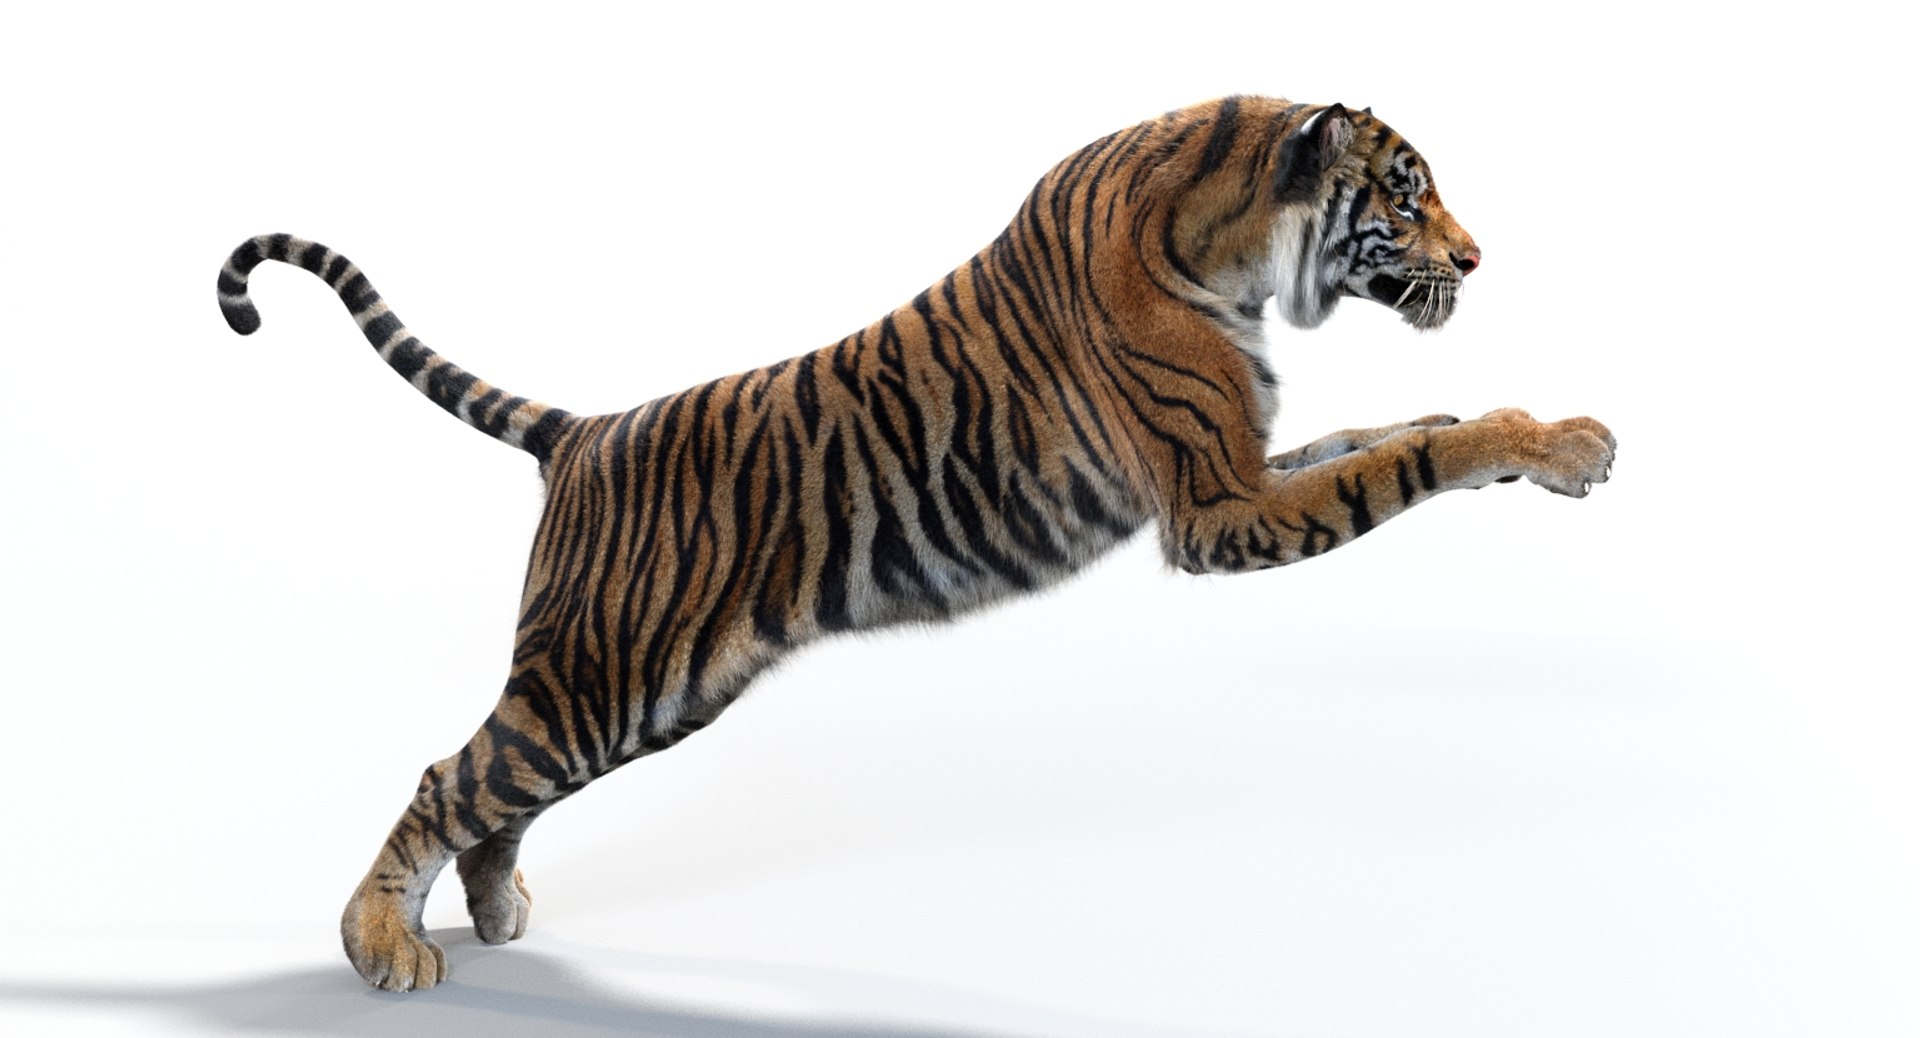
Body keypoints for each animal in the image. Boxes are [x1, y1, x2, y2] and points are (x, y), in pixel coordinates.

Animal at [215, 95, 1614, 992]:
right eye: (1406, 193)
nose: (1476, 259)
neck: (1237, 251)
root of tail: (584, 431)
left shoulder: (1244, 469)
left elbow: (1396, 431)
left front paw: (1526, 429)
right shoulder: (1217, 509)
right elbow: (1402, 461)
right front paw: (1567, 444)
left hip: (642, 695)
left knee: (497, 795)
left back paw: (499, 914)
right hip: (600, 679)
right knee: (449, 777)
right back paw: (383, 950)